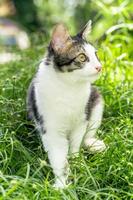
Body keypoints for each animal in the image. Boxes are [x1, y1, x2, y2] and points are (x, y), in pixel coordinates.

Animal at [26, 20, 106, 189]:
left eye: (96, 55)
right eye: (82, 57)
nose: (99, 67)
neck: (69, 87)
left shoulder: (81, 119)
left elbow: (75, 143)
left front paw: (77, 163)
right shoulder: (50, 128)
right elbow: (58, 156)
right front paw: (61, 183)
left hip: (96, 99)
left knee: (88, 134)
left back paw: (92, 144)